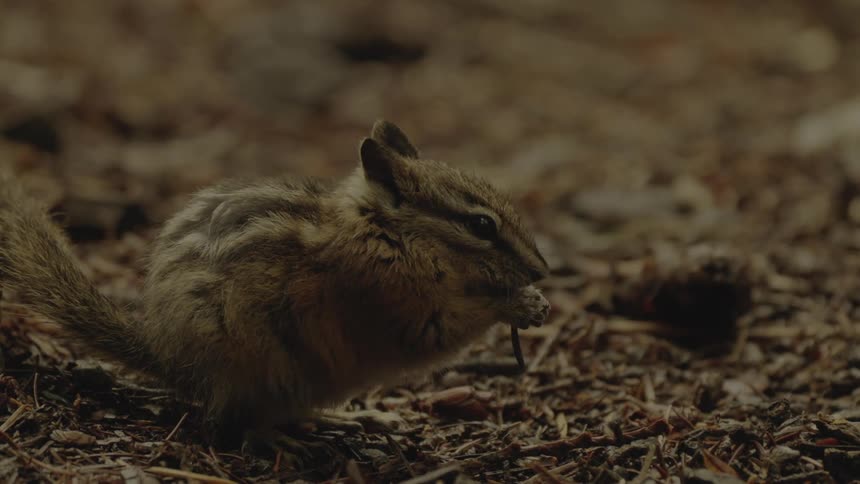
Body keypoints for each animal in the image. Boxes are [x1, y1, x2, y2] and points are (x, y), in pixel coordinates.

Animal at [0, 120, 550, 444]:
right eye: (481, 225)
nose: (542, 270)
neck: (385, 234)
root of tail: (165, 354)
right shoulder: (390, 304)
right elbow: (441, 330)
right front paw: (519, 305)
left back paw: (355, 418)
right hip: (260, 364)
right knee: (233, 423)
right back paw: (287, 438)